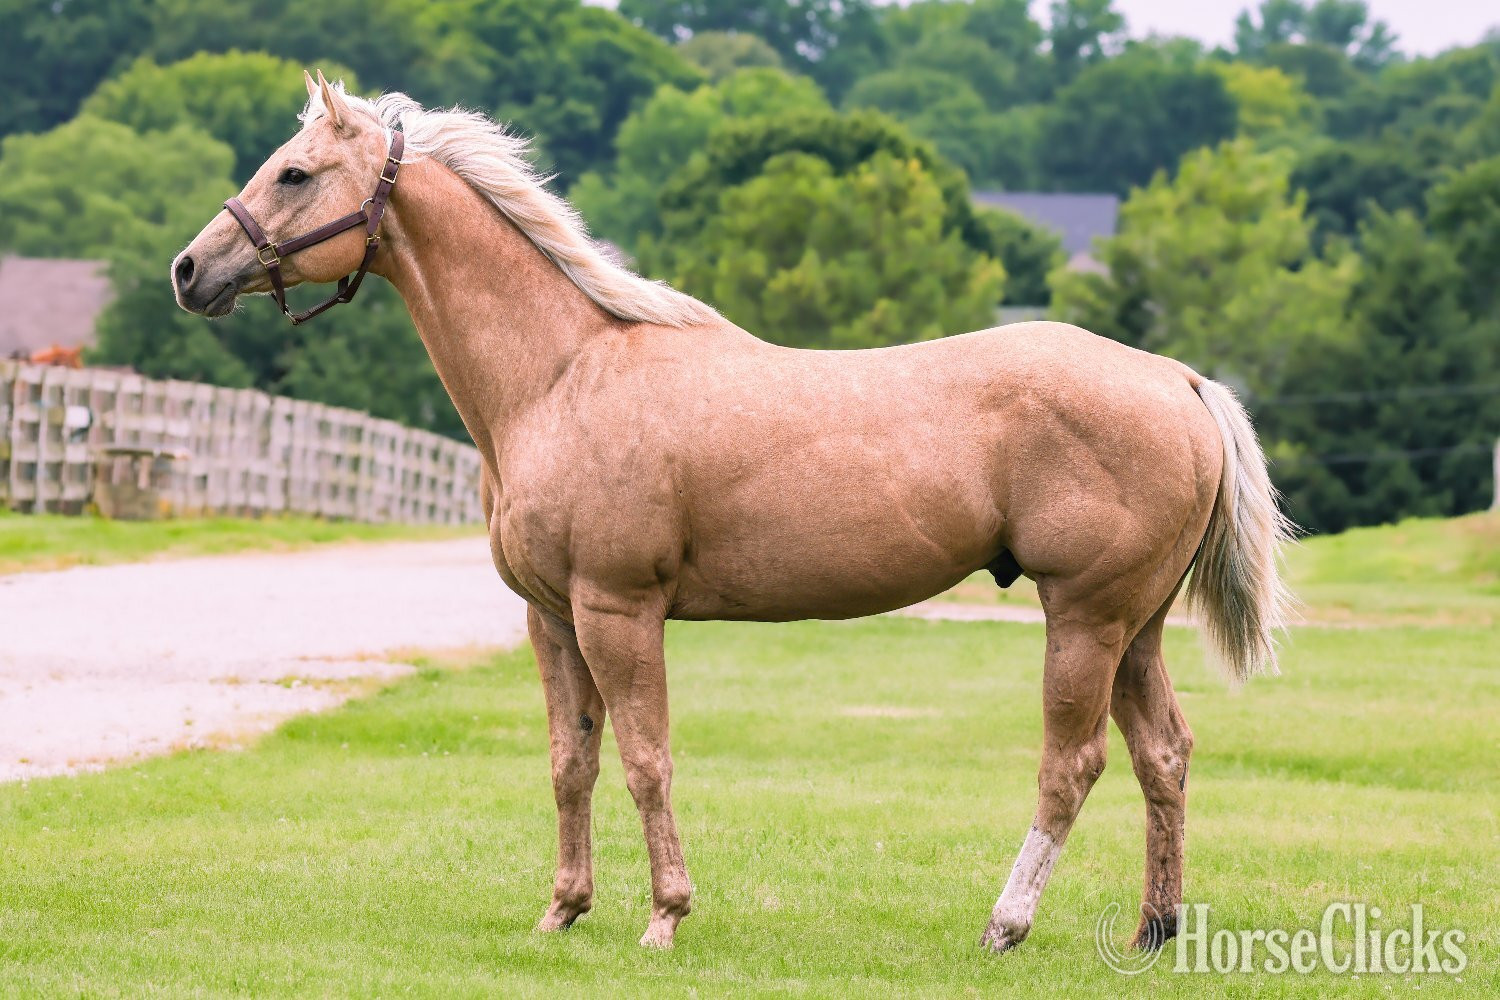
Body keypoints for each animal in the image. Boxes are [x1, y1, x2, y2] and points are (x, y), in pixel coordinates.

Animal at [172, 72, 1292, 953]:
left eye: (296, 173)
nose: (190, 271)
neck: (564, 372)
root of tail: (1177, 379)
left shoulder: (617, 610)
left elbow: (645, 758)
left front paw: (664, 915)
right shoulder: (551, 618)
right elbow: (572, 761)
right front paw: (562, 910)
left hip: (1085, 620)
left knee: (1075, 764)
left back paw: (1006, 923)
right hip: (1136, 628)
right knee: (1163, 755)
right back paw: (1155, 929)